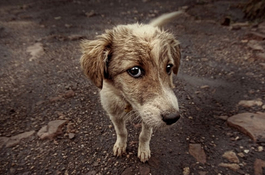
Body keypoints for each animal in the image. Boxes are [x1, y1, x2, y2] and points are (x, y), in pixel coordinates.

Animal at [80, 11, 183, 163]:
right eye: (135, 70)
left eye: (169, 67)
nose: (173, 118)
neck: (128, 102)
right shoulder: (114, 113)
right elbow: (121, 131)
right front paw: (120, 146)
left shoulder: (147, 116)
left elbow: (144, 135)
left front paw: (143, 151)